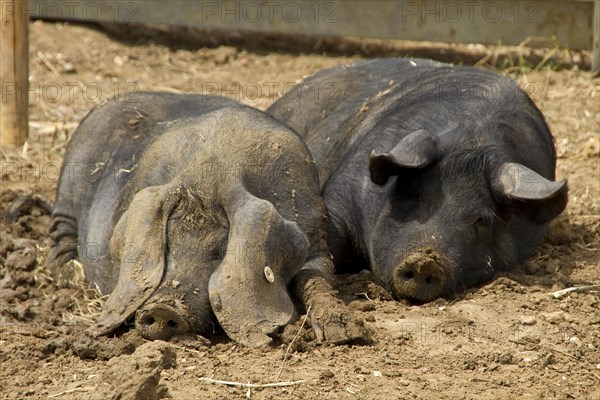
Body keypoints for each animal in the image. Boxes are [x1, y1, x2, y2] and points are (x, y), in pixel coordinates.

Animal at [49, 92, 368, 346]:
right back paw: (68, 274)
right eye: (166, 246)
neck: (213, 171)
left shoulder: (315, 234)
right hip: (66, 190)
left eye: (218, 252)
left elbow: (316, 279)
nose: (162, 310)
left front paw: (344, 334)